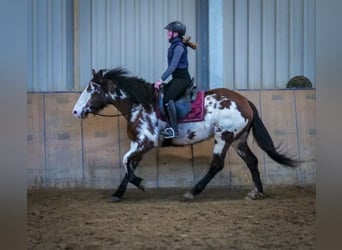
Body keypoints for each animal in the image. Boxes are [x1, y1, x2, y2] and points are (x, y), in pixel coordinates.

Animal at [73, 68, 300, 201]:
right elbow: (129, 164)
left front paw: (140, 183)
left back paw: (192, 191)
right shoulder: (138, 144)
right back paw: (257, 192)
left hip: (223, 137)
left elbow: (125, 162)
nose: (76, 111)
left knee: (217, 164)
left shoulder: (145, 142)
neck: (139, 104)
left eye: (91, 89)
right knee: (252, 161)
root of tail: (244, 101)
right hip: (238, 140)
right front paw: (118, 193)